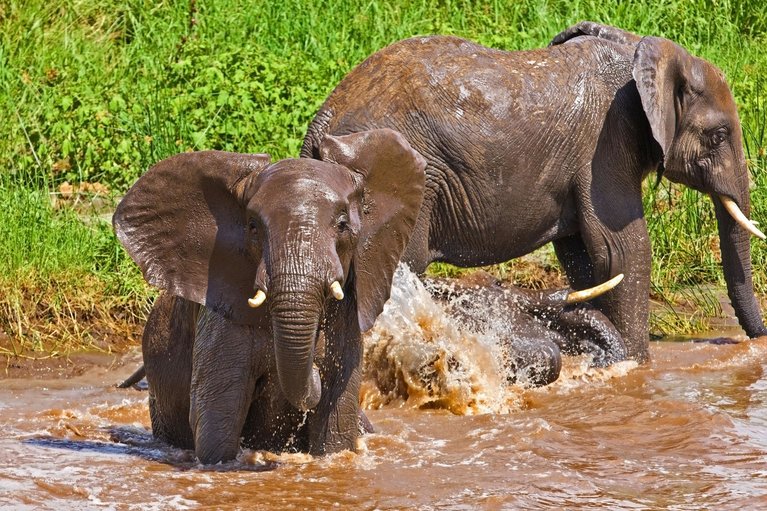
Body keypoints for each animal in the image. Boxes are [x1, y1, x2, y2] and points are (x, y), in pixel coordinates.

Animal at [112, 129, 426, 464]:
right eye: (252, 227)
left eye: (343, 225)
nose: (315, 370)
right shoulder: (220, 319)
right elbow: (216, 420)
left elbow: (337, 426)